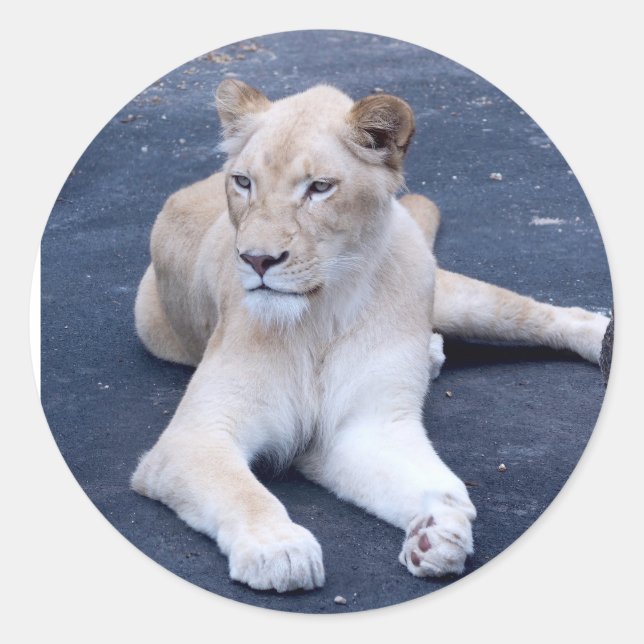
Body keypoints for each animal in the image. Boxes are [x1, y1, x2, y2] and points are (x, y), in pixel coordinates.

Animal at [130, 80, 609, 592]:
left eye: (319, 188)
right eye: (243, 182)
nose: (257, 259)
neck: (321, 313)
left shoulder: (367, 424)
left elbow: (433, 482)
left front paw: (438, 532)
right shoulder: (198, 435)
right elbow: (242, 490)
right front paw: (280, 549)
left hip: (447, 291)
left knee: (534, 312)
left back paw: (600, 337)